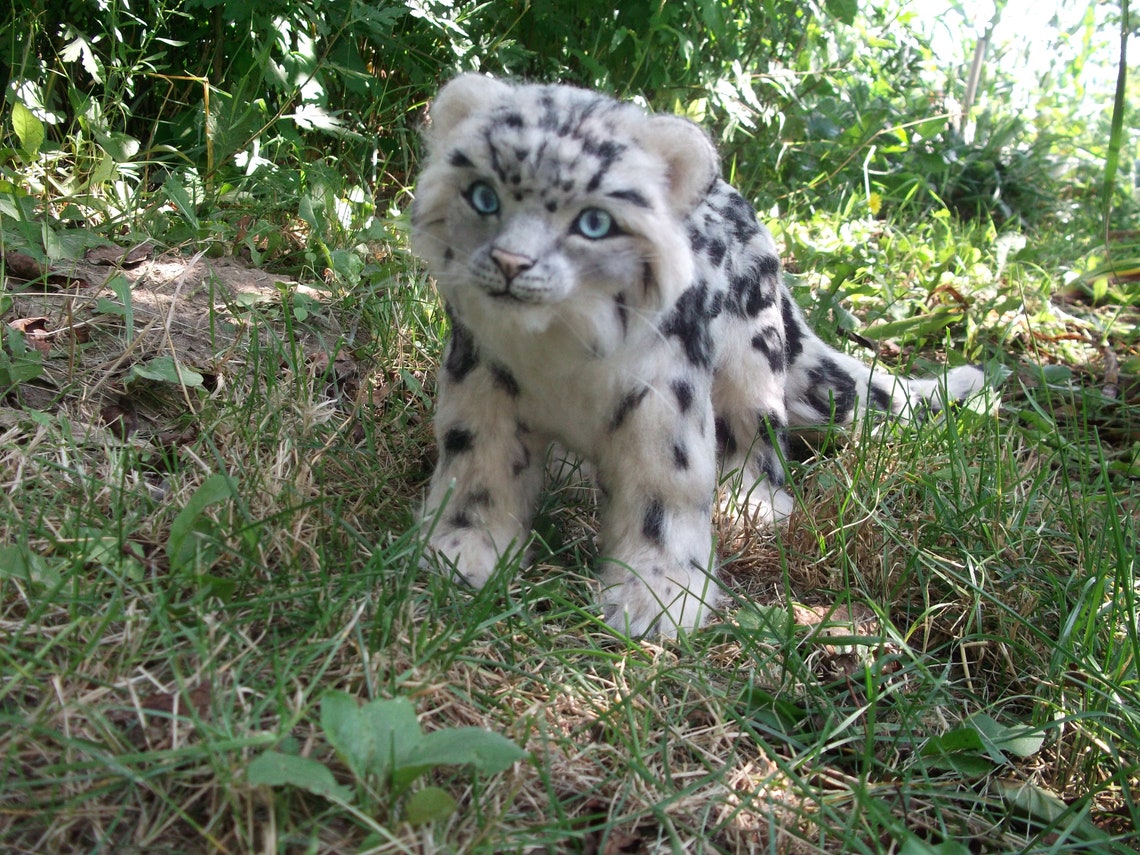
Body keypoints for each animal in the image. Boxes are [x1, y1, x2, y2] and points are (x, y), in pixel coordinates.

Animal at [409, 74, 985, 637]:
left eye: (595, 222)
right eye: (483, 195)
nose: (511, 262)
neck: (559, 355)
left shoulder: (665, 406)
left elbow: (663, 492)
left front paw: (656, 600)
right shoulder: (481, 387)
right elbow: (478, 471)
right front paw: (461, 556)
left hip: (752, 363)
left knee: (760, 436)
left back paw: (752, 505)